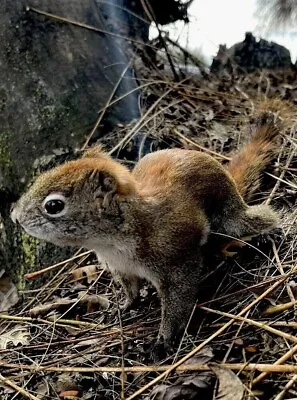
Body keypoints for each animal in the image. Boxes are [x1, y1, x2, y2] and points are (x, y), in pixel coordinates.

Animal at [11, 111, 280, 350]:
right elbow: (131, 290)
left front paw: (165, 338)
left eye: (53, 206)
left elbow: (178, 301)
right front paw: (124, 306)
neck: (112, 241)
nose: (14, 217)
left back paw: (270, 231)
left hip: (228, 216)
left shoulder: (175, 262)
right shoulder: (121, 268)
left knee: (252, 220)